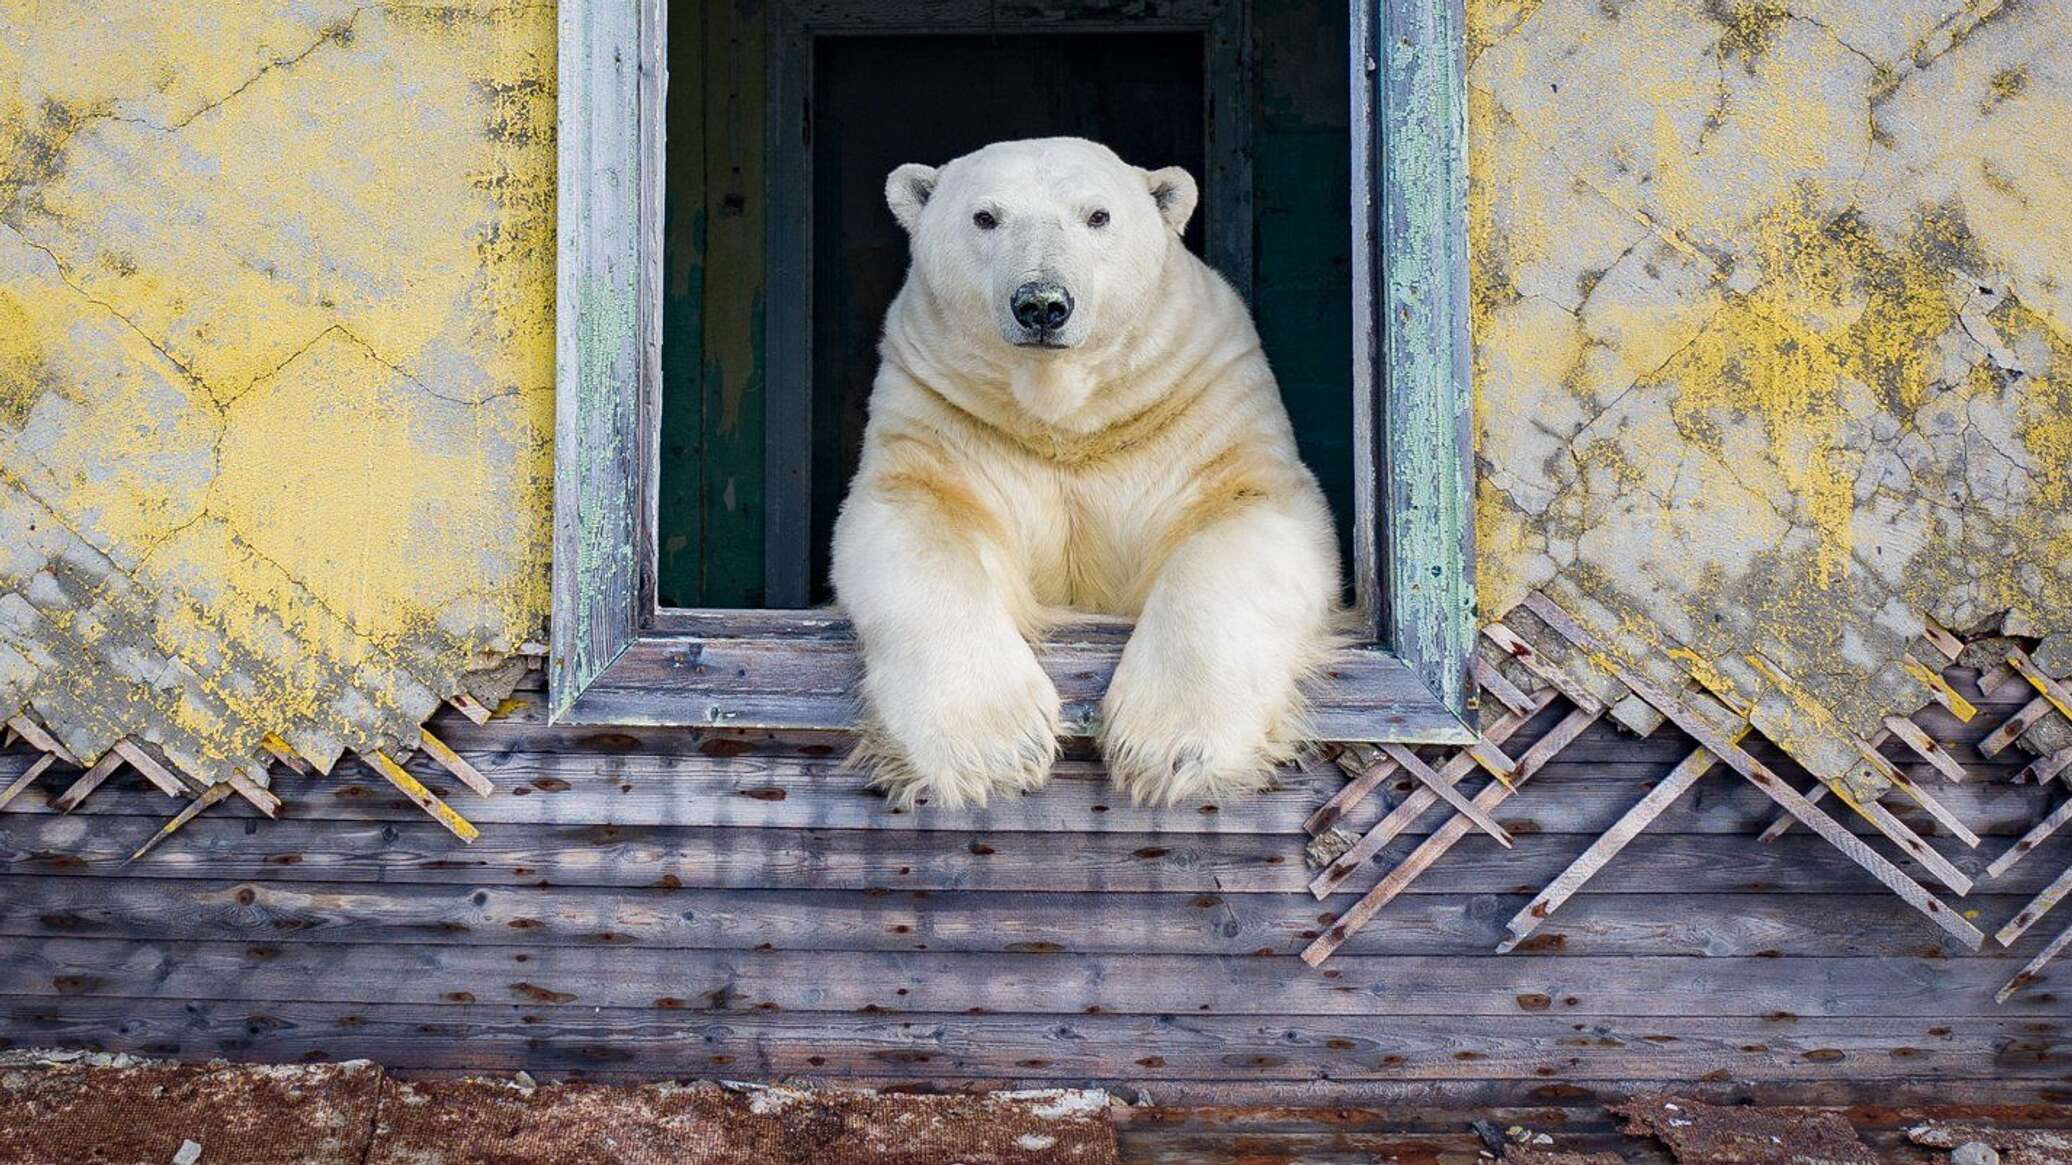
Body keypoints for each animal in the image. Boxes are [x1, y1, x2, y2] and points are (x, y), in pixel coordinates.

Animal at [828, 135, 1342, 804]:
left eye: (1098, 216)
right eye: (985, 217)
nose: (1042, 304)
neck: (1067, 421)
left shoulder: (1199, 401)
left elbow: (1245, 517)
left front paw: (1172, 748)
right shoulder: (942, 415)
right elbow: (915, 519)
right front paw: (992, 748)